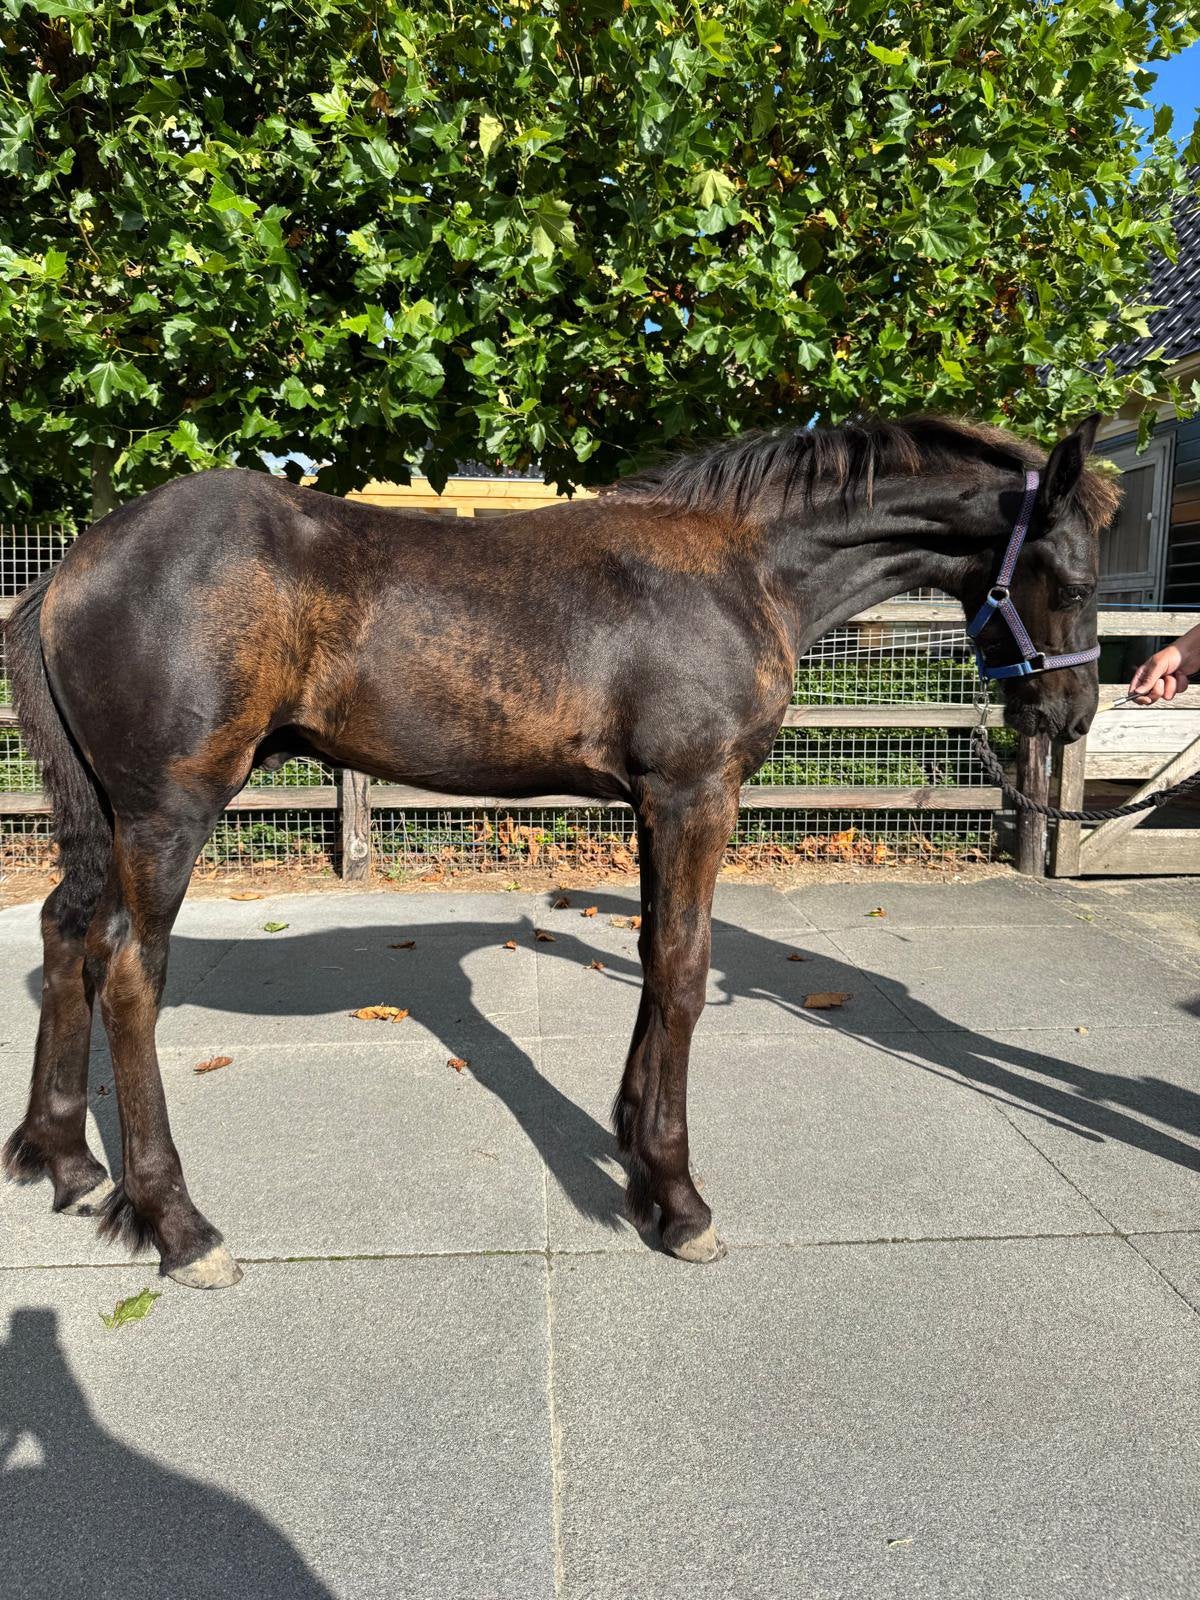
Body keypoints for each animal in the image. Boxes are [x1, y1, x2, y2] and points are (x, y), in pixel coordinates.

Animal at [2, 413, 1116, 1288]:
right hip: (167, 813)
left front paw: (634, 1149)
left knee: (64, 932)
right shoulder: (695, 794)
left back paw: (66, 1161)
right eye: (1069, 573)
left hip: (102, 817)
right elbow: (685, 968)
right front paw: (679, 1198)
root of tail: (70, 569)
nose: (1071, 713)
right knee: (129, 972)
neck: (744, 566)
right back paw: (180, 1225)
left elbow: (655, 959)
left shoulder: (654, 805)